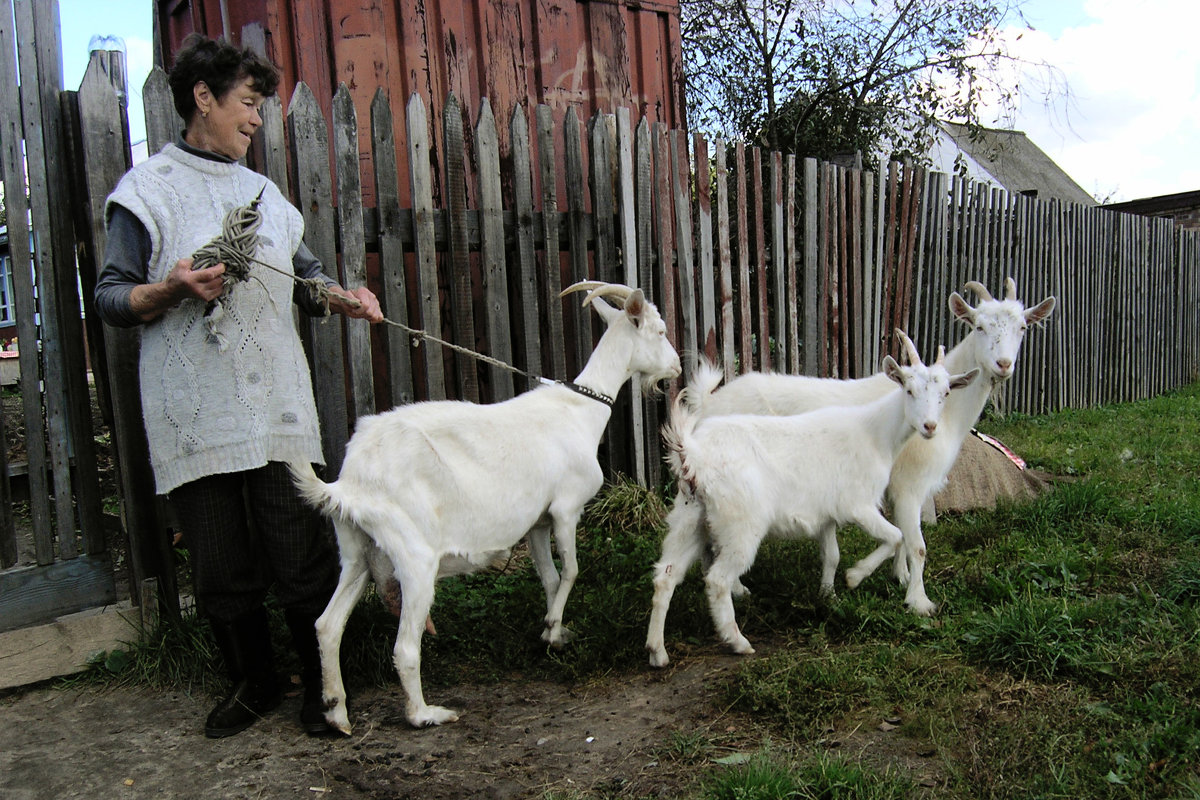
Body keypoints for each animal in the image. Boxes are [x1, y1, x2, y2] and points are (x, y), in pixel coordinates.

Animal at [289, 281, 681, 734]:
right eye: (659, 331)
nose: (676, 368)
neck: (581, 410)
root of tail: (349, 482)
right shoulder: (566, 508)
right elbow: (572, 570)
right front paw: (552, 628)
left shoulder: (537, 522)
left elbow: (550, 577)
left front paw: (554, 631)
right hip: (413, 555)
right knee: (404, 648)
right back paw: (425, 714)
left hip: (357, 553)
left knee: (327, 625)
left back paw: (336, 712)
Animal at [648, 333, 974, 671]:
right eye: (909, 390)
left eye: (945, 393)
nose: (930, 427)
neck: (875, 433)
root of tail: (693, 454)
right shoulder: (858, 505)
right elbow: (896, 537)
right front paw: (855, 577)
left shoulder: (826, 513)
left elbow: (831, 555)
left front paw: (828, 595)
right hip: (740, 523)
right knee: (717, 580)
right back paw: (737, 641)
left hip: (689, 517)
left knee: (665, 576)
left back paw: (657, 651)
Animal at [691, 278, 1056, 618]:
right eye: (979, 326)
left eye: (1023, 327)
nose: (1003, 364)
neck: (950, 416)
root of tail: (708, 403)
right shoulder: (910, 485)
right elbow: (916, 544)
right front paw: (917, 600)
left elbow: (902, 539)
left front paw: (899, 576)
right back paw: (737, 588)